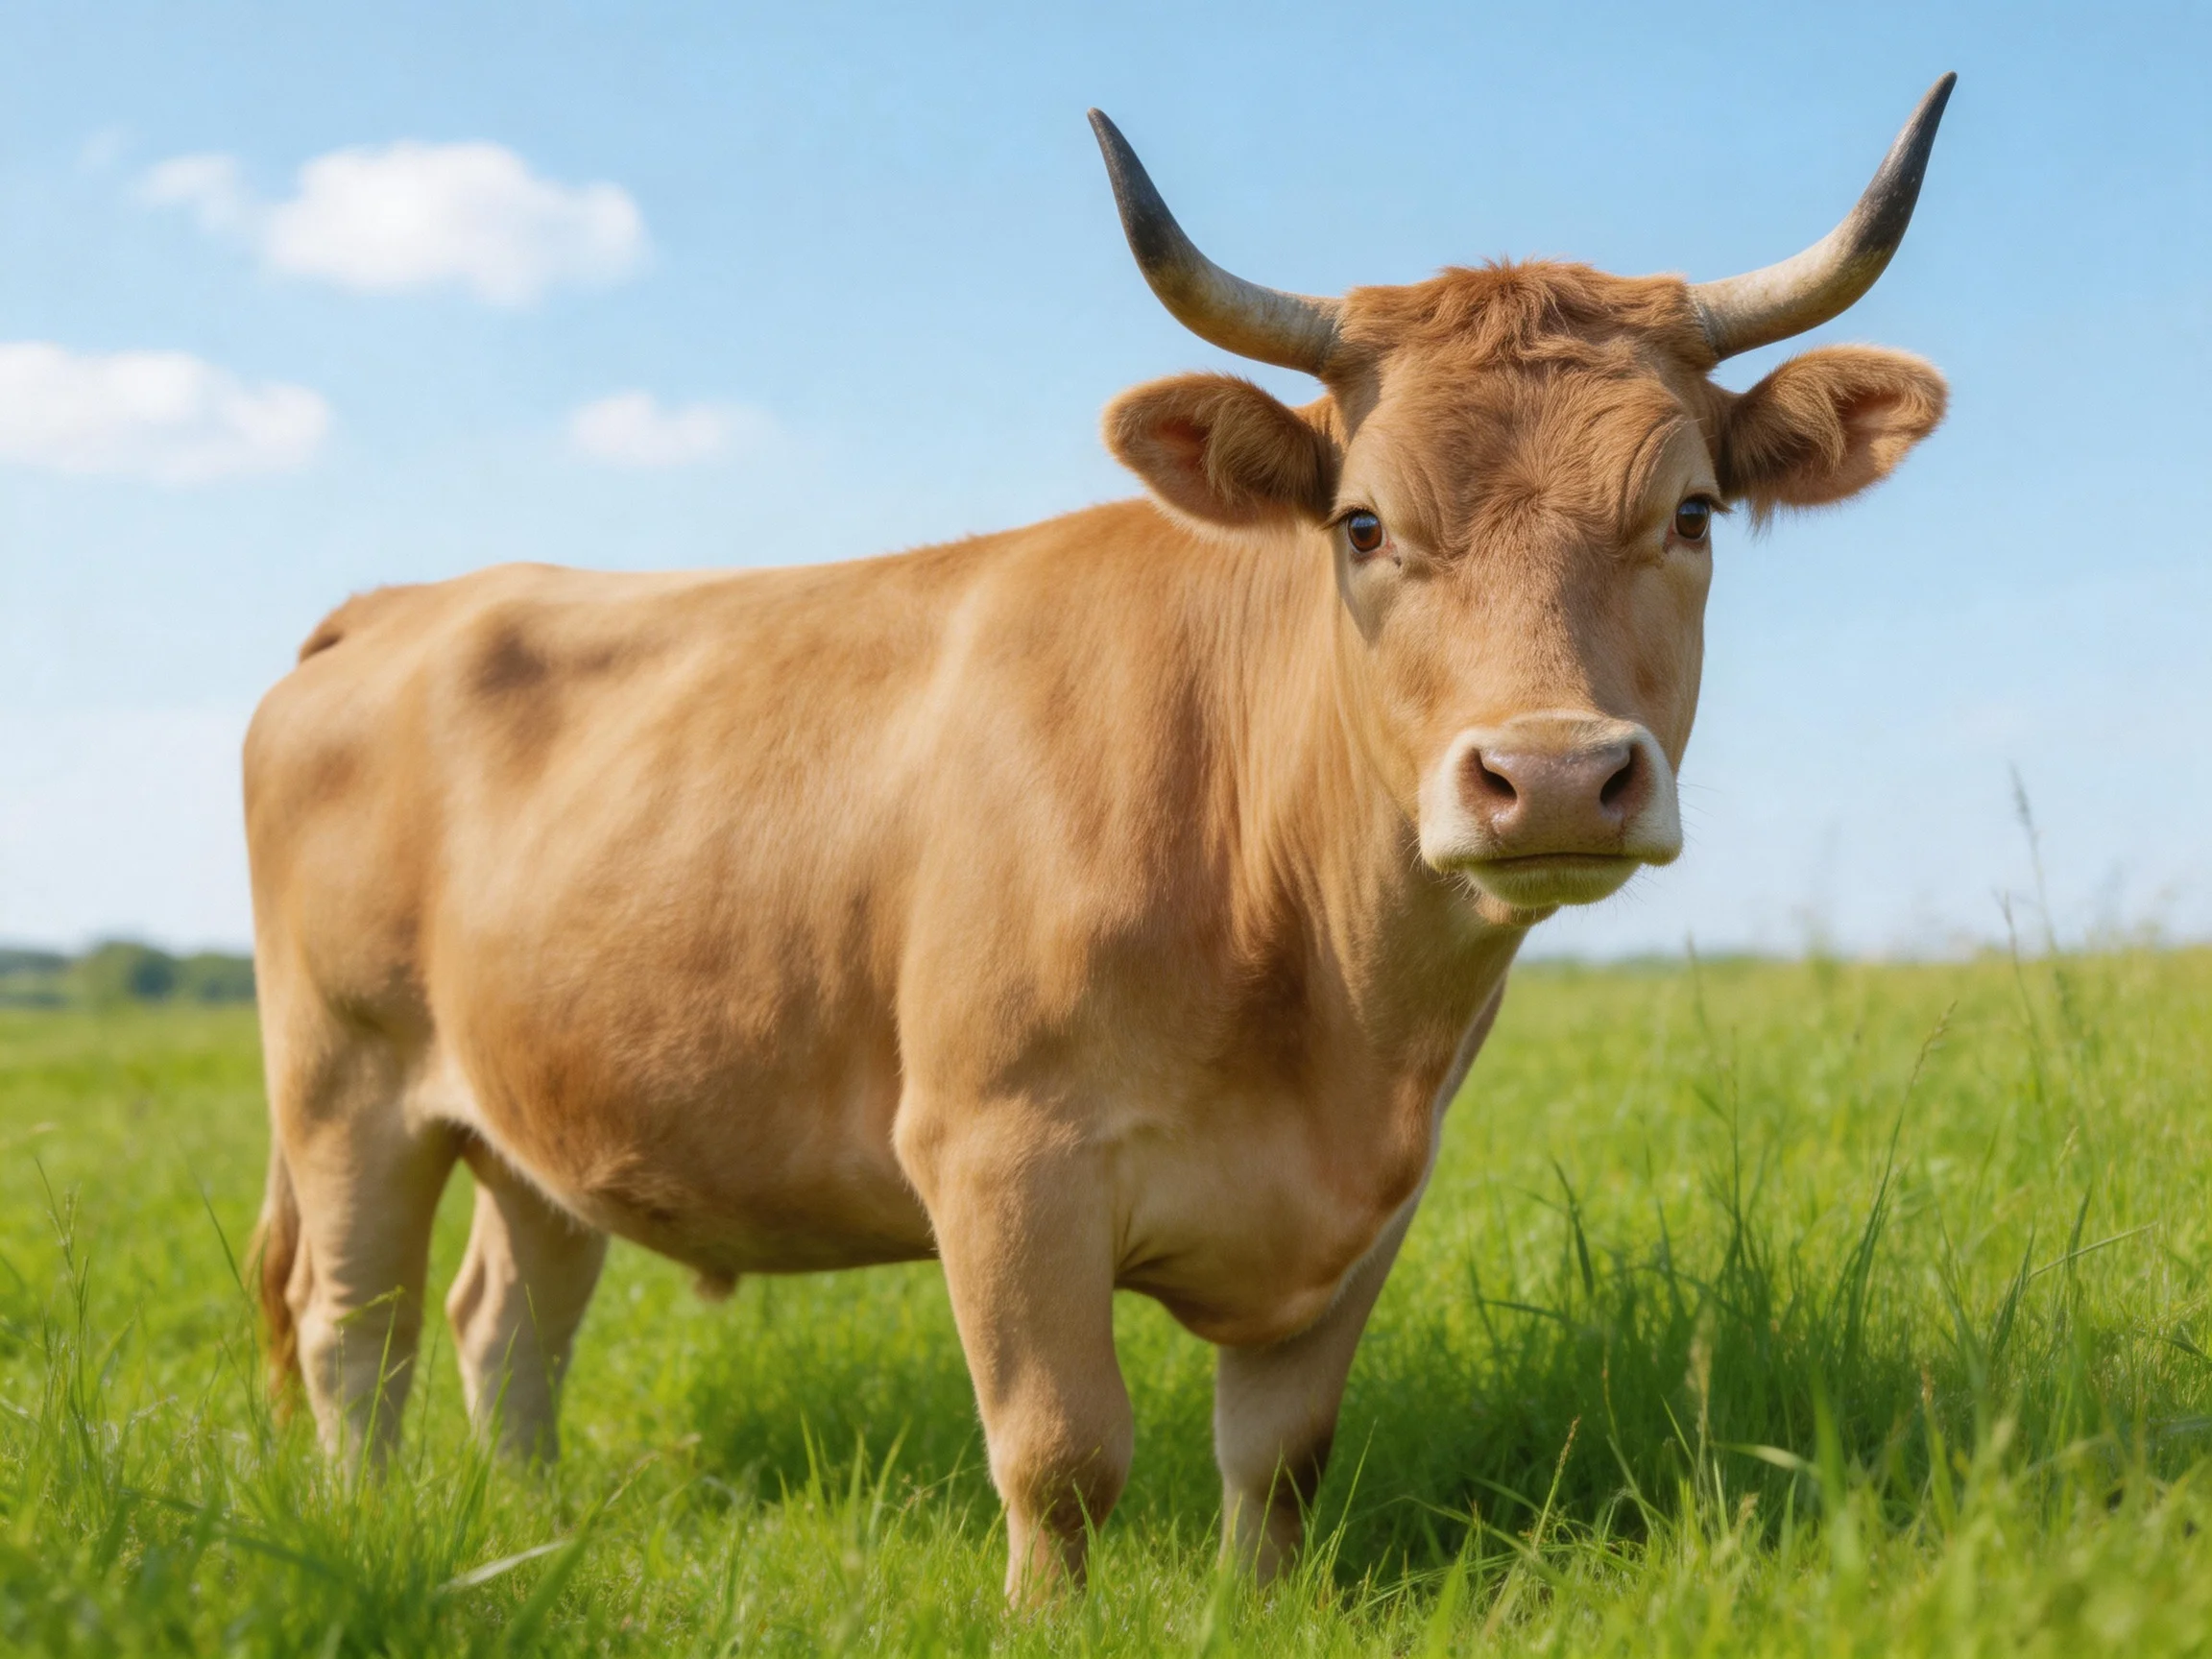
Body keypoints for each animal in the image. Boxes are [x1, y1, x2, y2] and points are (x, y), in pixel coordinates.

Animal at [245, 78, 1953, 1600]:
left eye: (1691, 514)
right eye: (1363, 524)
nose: (1548, 777)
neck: (1326, 1010)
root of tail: (407, 601)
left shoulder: (1372, 1201)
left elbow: (1281, 1458)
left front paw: (1259, 1610)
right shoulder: (999, 1155)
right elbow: (1061, 1455)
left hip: (536, 1103)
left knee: (506, 1321)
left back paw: (530, 1530)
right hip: (345, 1079)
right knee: (351, 1328)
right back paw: (367, 1528)